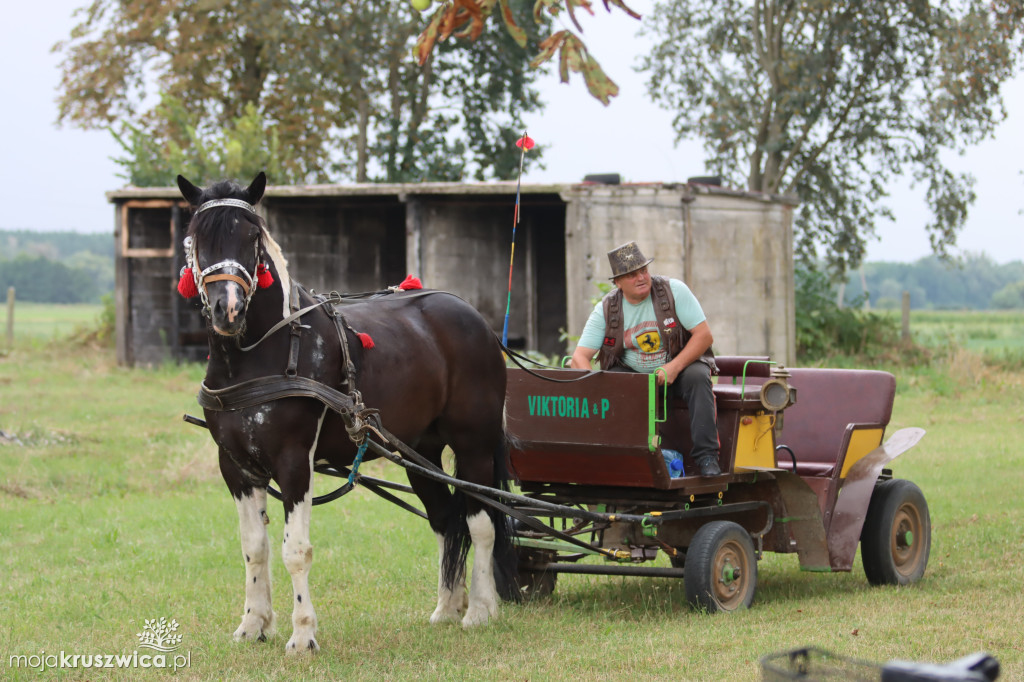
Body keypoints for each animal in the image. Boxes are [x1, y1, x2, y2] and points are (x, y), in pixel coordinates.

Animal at [174, 173, 520, 651]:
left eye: (251, 237)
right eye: (196, 239)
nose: (228, 308)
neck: (260, 353)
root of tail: (475, 318)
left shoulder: (294, 461)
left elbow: (296, 551)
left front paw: (303, 634)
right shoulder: (237, 467)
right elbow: (254, 548)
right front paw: (253, 624)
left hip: (475, 445)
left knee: (482, 519)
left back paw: (482, 609)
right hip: (420, 452)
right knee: (446, 519)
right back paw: (448, 607)